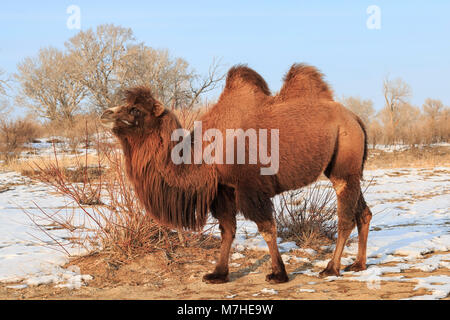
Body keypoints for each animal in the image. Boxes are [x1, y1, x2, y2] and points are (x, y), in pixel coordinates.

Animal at [101, 63, 372, 284]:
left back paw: (331, 268)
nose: (105, 113)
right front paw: (218, 274)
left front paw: (278, 274)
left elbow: (267, 228)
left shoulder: (250, 188)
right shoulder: (224, 189)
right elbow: (227, 230)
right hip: (346, 169)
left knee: (346, 216)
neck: (204, 152)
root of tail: (356, 118)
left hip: (343, 164)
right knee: (363, 212)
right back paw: (358, 264)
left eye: (135, 110)